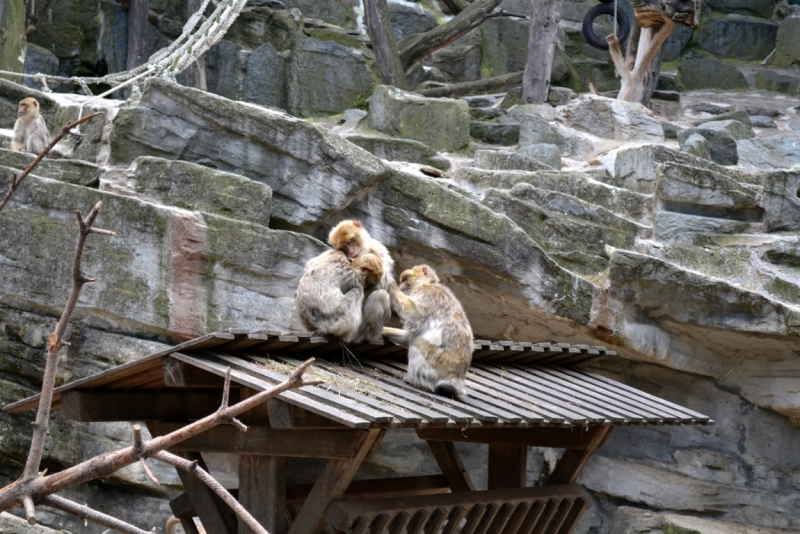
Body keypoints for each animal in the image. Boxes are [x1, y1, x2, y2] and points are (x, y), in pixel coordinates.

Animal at [382, 266, 472, 400]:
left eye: (406, 278)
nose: (400, 285)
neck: (428, 284)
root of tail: (455, 383)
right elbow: (409, 336)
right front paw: (383, 330)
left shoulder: (427, 294)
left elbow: (413, 316)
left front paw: (391, 283)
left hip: (434, 367)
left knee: (418, 342)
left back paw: (416, 382)